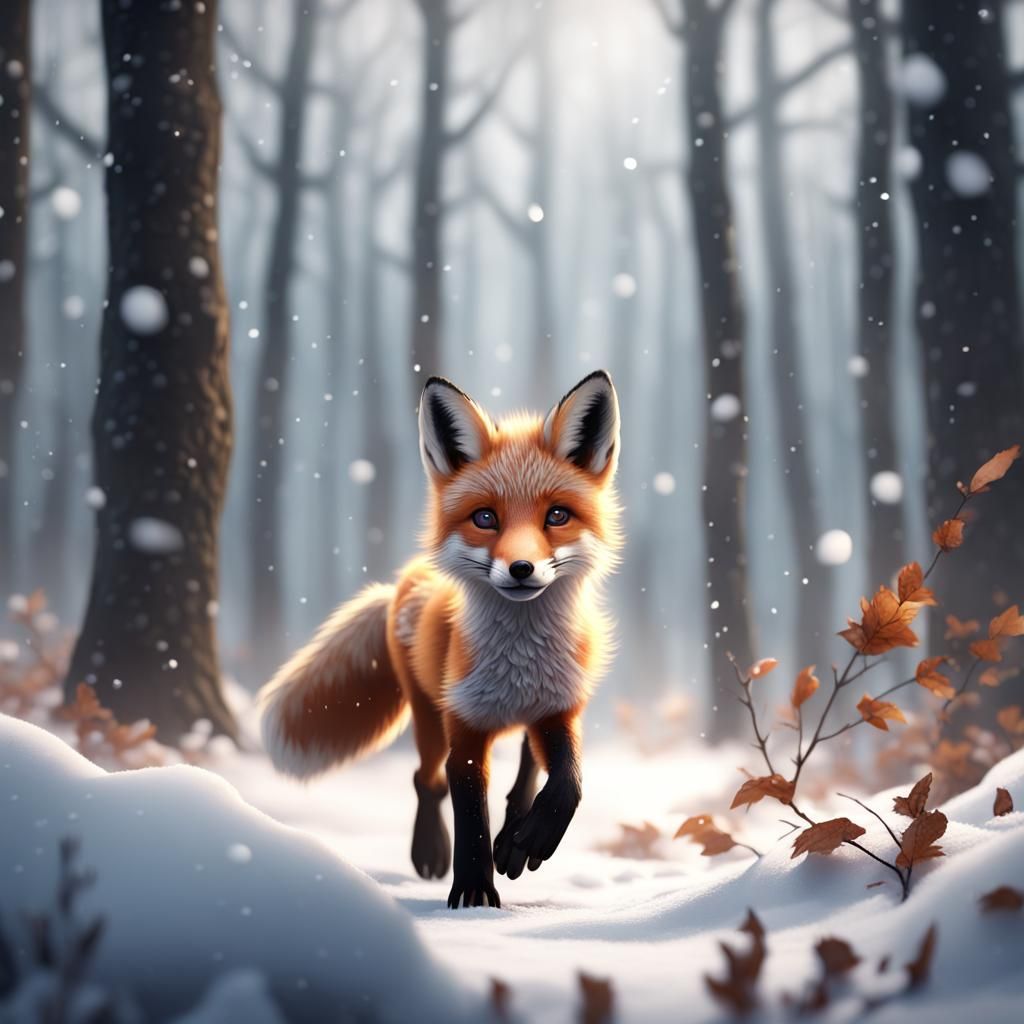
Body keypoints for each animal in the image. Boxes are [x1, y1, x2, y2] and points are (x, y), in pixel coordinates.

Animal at [258, 370, 622, 908]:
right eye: (485, 518)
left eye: (557, 516)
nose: (521, 568)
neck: (518, 666)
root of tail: (406, 579)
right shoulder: (465, 727)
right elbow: (470, 811)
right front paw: (472, 893)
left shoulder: (559, 708)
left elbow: (568, 782)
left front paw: (528, 839)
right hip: (428, 716)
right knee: (425, 779)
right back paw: (430, 850)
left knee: (526, 768)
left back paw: (514, 836)